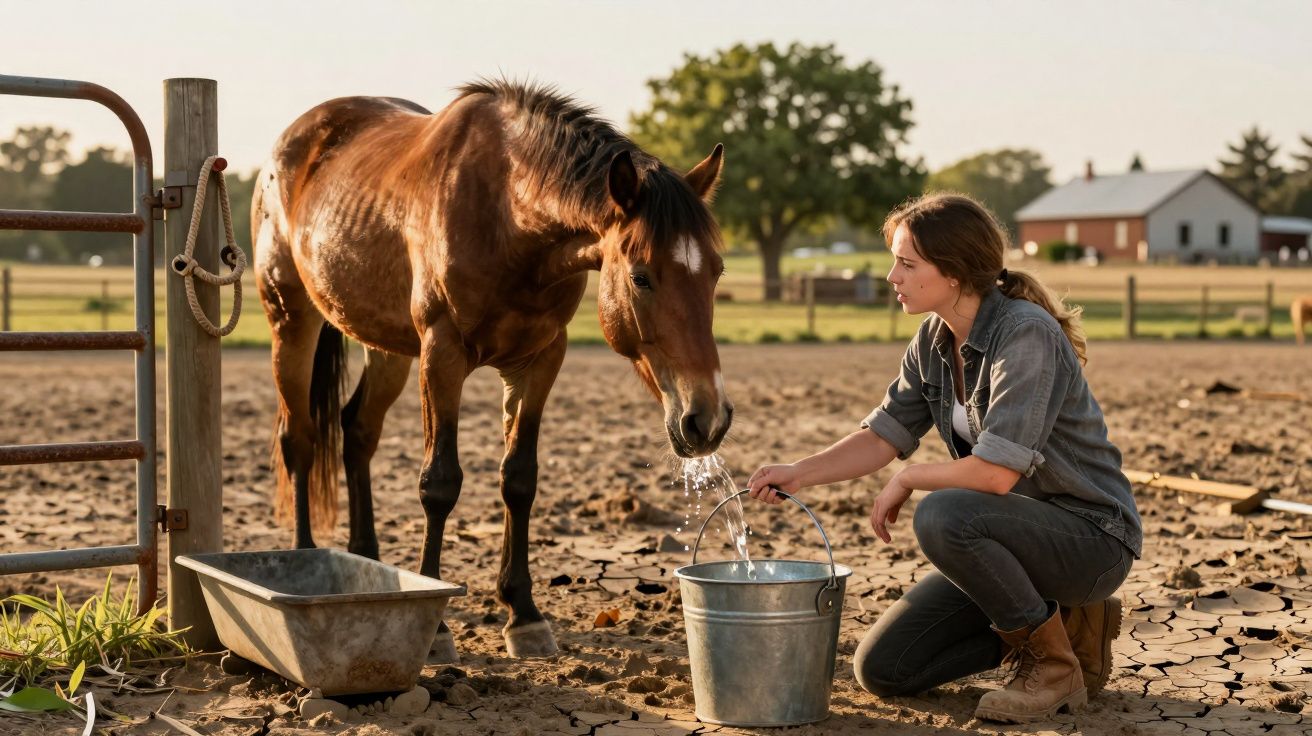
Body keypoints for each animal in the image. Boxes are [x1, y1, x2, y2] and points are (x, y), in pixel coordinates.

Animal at [251, 80, 733, 659]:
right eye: (641, 277)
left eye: (716, 271)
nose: (707, 419)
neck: (507, 214)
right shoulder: (442, 354)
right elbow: (439, 483)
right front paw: (436, 628)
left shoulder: (540, 359)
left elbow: (519, 479)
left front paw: (522, 614)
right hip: (291, 320)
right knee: (298, 438)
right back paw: (304, 559)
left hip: (386, 346)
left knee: (356, 432)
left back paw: (364, 557)